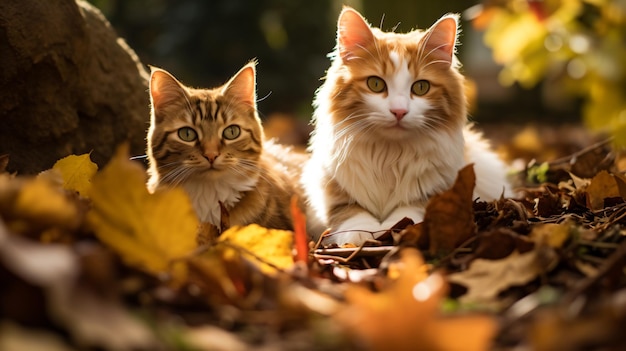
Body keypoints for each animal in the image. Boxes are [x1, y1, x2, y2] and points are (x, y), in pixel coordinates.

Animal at [302, 6, 512, 246]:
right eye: (375, 84)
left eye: (421, 87)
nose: (399, 112)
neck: (388, 155)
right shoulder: (331, 187)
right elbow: (350, 213)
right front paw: (364, 232)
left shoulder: (434, 191)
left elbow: (408, 212)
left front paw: (394, 228)